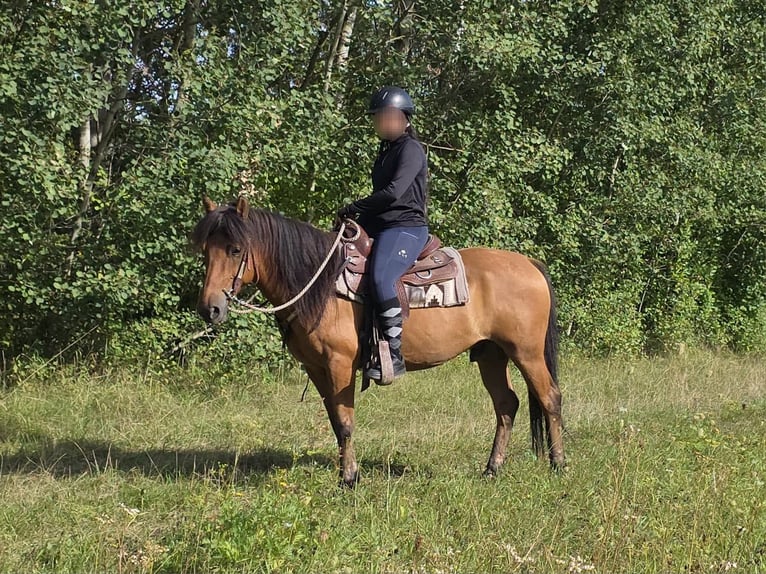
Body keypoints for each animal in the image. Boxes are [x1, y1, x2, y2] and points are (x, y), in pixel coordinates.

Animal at [192, 196, 564, 487]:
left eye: (235, 249)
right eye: (205, 250)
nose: (210, 308)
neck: (320, 285)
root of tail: (529, 263)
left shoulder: (340, 365)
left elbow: (345, 422)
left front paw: (349, 479)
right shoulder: (316, 368)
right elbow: (335, 421)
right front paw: (346, 472)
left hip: (527, 352)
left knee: (549, 397)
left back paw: (558, 464)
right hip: (491, 354)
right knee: (506, 405)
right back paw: (491, 469)